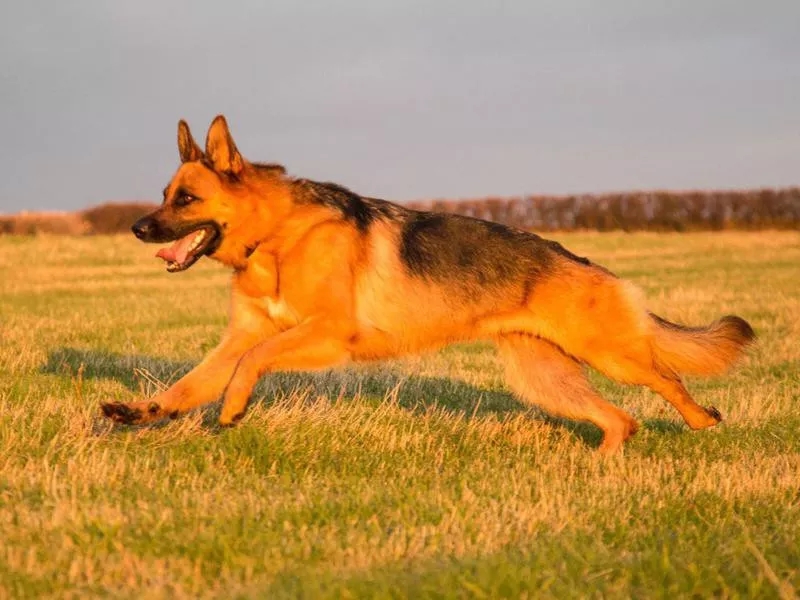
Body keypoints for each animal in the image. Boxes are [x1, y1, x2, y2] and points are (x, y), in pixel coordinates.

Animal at [98, 116, 752, 450]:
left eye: (186, 199)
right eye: (164, 195)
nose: (136, 228)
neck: (278, 237)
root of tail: (590, 264)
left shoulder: (327, 333)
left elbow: (250, 362)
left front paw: (234, 406)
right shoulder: (240, 339)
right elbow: (189, 384)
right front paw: (143, 412)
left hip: (612, 356)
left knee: (668, 380)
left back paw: (702, 422)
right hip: (544, 380)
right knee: (622, 420)